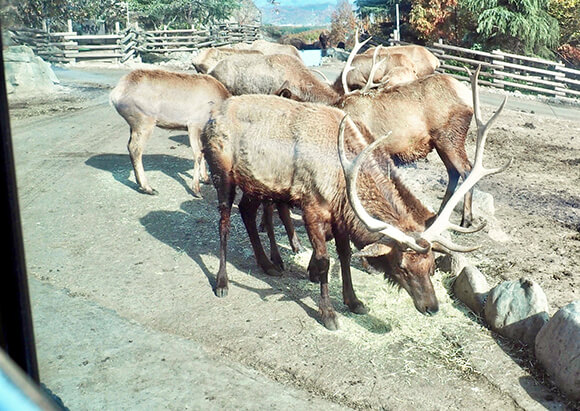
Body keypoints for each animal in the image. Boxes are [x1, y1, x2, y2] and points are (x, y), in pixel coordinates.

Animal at [111, 69, 231, 198]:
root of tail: (114, 95)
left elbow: (203, 152)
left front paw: (205, 178)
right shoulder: (194, 125)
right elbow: (198, 154)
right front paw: (196, 189)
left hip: (134, 126)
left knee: (130, 146)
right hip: (144, 122)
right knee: (135, 149)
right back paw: (148, 188)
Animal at [201, 67, 508, 332]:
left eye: (431, 265)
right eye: (402, 266)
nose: (431, 307)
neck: (341, 181)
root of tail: (210, 117)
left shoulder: (340, 214)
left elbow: (345, 254)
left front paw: (354, 301)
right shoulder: (312, 206)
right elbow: (325, 261)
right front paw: (328, 312)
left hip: (256, 184)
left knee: (246, 211)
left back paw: (267, 264)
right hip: (222, 172)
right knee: (224, 219)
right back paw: (222, 282)